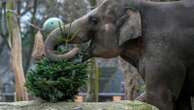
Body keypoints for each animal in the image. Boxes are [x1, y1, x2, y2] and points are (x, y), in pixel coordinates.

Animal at [44, 0, 194, 109]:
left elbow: (157, 98)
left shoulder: (163, 53)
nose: (75, 51)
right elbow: (181, 101)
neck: (141, 5)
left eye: (94, 20)